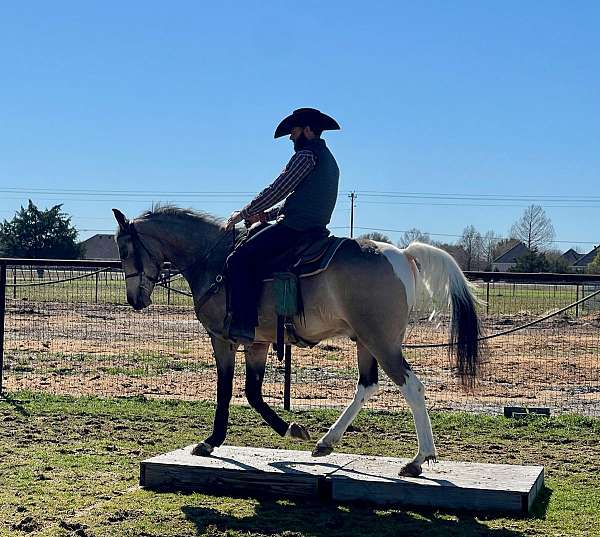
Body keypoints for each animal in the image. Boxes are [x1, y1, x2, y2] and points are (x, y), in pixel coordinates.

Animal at [112, 207, 486, 476]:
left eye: (126, 249)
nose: (134, 300)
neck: (214, 261)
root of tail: (402, 253)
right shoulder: (258, 343)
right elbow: (252, 392)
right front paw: (292, 429)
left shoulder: (223, 339)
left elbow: (226, 390)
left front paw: (211, 441)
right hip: (365, 341)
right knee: (367, 386)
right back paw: (326, 442)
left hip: (382, 343)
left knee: (412, 388)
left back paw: (419, 459)